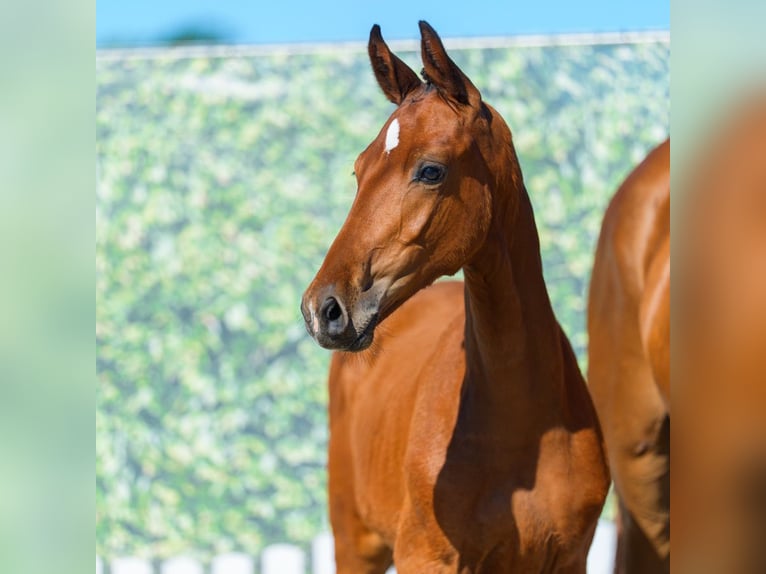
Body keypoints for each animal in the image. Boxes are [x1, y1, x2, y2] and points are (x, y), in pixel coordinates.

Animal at [301, 22, 610, 573]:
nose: (323, 309)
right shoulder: (428, 556)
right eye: (359, 170)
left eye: (431, 170)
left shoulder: (572, 557)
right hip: (354, 541)